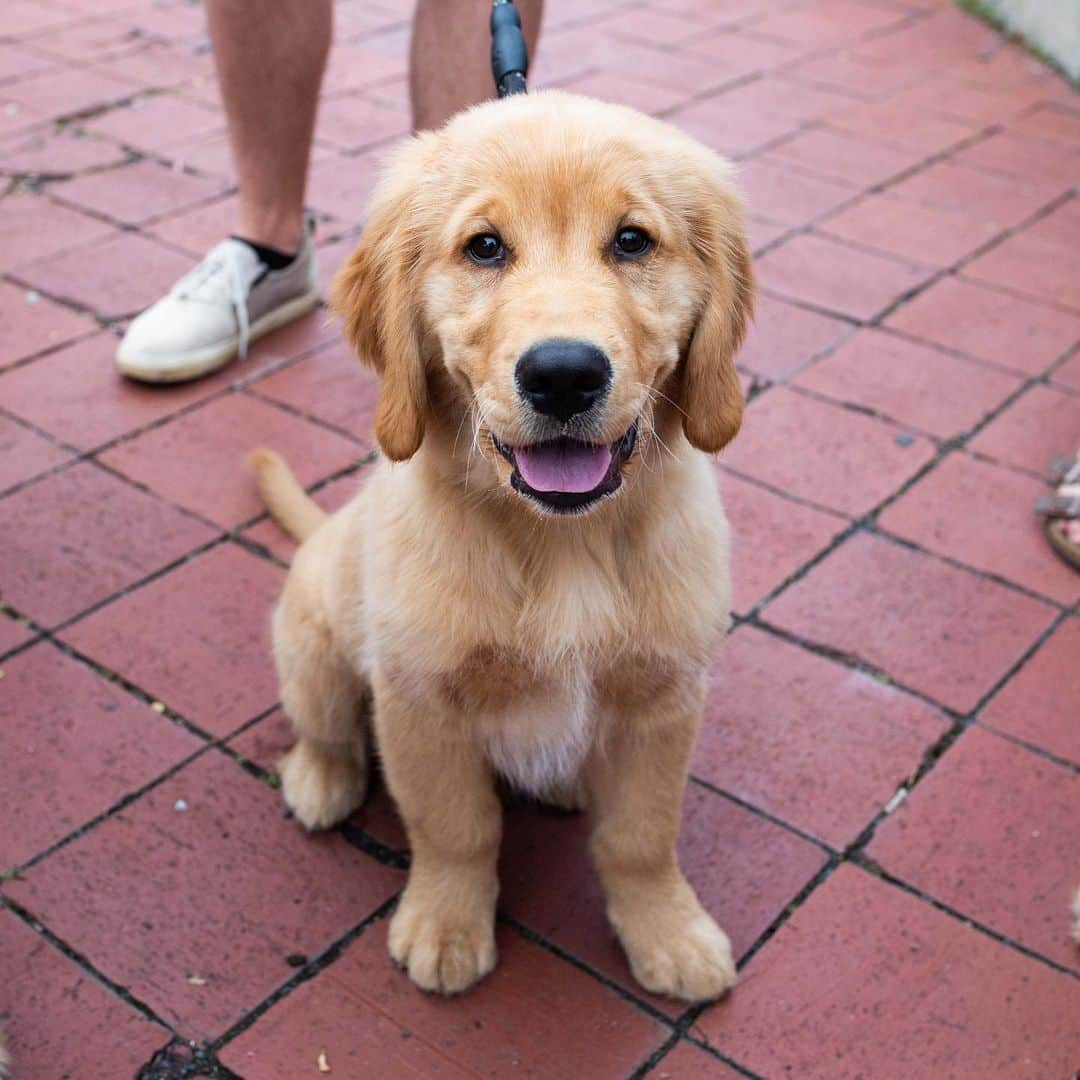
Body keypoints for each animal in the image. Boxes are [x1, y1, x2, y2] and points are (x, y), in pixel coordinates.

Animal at [250, 92, 751, 1002]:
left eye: (633, 240)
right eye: (484, 247)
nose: (562, 375)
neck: (563, 543)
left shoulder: (663, 699)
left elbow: (642, 835)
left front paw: (669, 931)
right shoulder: (419, 700)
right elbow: (457, 827)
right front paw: (446, 926)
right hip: (313, 646)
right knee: (325, 725)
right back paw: (321, 779)